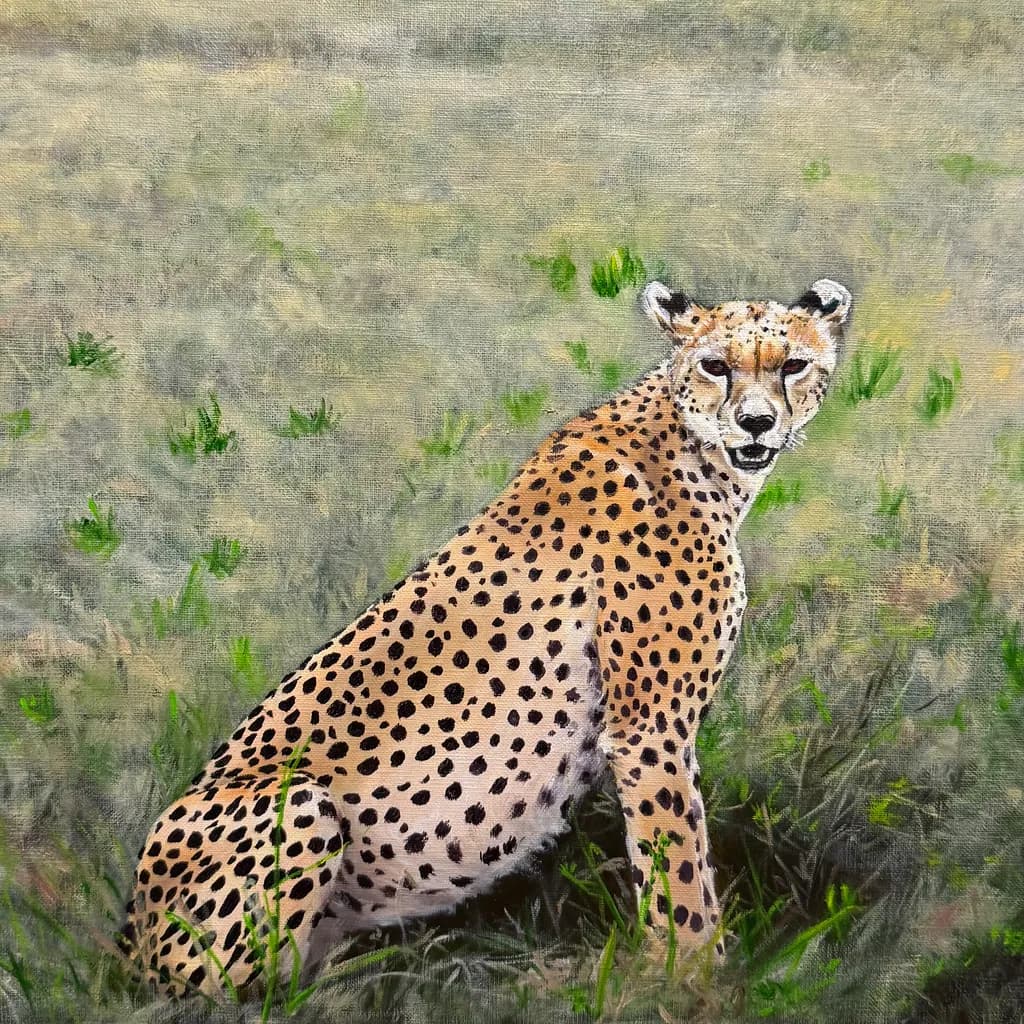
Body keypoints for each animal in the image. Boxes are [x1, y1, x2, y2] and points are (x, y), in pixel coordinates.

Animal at [121, 276, 851, 997]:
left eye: (792, 365)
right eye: (715, 366)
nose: (757, 422)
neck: (695, 454)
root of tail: (129, 938)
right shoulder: (650, 728)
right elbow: (679, 869)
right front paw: (695, 977)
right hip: (299, 806)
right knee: (244, 996)